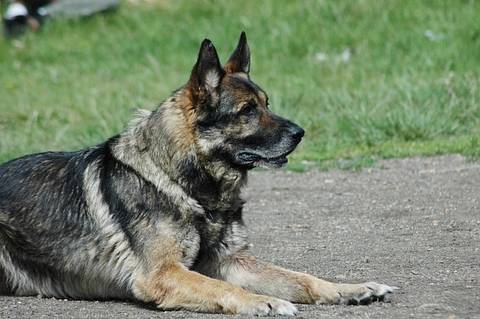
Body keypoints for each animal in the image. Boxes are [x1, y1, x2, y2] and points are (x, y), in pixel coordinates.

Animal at [0, 33, 396, 316]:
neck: (184, 184)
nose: (301, 133)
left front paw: (351, 288)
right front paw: (260, 302)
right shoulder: (164, 274)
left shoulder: (231, 262)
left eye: (267, 104)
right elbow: (222, 288)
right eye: (247, 111)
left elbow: (301, 278)